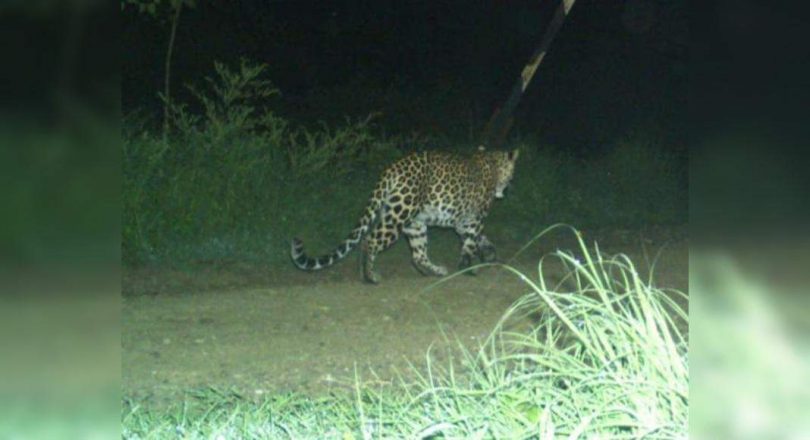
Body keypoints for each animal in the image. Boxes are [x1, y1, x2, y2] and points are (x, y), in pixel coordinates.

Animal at [291, 147, 519, 283]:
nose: (507, 190)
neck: (493, 164)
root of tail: (392, 168)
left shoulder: (462, 222)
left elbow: (479, 239)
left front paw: (489, 253)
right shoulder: (474, 218)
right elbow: (471, 242)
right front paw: (468, 267)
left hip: (415, 223)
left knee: (418, 255)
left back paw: (431, 272)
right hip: (400, 214)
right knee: (369, 239)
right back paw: (370, 276)